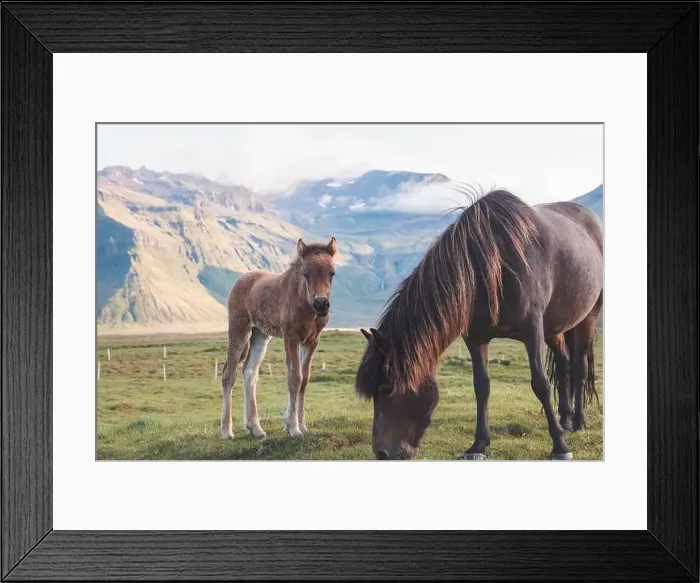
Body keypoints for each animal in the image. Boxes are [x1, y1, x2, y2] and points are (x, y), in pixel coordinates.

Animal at [220, 237, 337, 440]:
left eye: (332, 273)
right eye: (306, 273)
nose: (321, 304)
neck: (303, 301)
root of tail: (240, 280)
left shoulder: (312, 341)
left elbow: (305, 379)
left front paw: (301, 425)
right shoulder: (291, 337)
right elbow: (294, 377)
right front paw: (293, 428)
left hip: (260, 334)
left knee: (249, 373)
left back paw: (255, 428)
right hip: (239, 329)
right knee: (229, 373)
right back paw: (227, 430)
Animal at [355, 187, 603, 460]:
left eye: (387, 387)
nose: (381, 453)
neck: (492, 264)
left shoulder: (532, 332)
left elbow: (540, 384)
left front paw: (560, 445)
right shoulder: (475, 338)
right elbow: (481, 386)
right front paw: (478, 445)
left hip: (588, 317)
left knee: (579, 366)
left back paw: (578, 422)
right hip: (555, 328)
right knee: (564, 363)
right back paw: (566, 419)